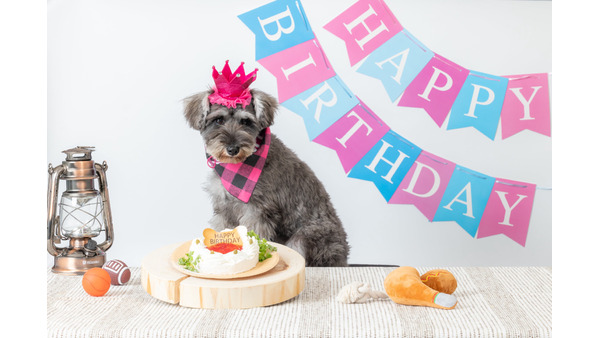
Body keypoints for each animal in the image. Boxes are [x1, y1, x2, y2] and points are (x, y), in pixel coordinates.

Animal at [185, 87, 350, 266]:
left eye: (246, 122)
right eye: (218, 120)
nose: (232, 149)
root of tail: (343, 257)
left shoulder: (257, 211)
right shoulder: (223, 209)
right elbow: (221, 230)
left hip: (304, 239)